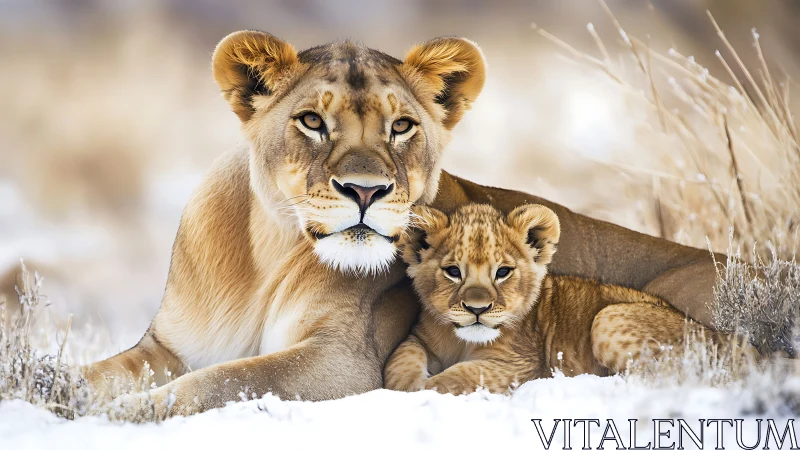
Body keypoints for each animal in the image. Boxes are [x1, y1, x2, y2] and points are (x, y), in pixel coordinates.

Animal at [384, 204, 752, 394]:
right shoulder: (419, 338)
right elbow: (399, 361)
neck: (462, 341)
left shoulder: (520, 364)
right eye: (452, 271)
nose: (477, 309)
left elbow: (456, 377)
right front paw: (403, 389)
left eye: (503, 272)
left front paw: (421, 392)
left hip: (608, 318)